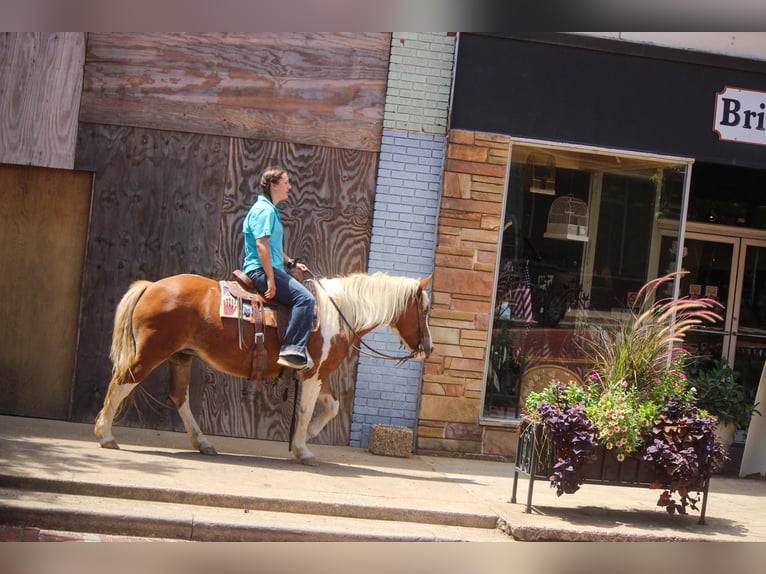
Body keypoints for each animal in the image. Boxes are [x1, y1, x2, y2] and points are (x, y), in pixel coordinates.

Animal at [93, 272, 436, 466]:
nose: (429, 348)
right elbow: (307, 409)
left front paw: (306, 438)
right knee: (122, 382)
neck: (339, 313)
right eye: (425, 309)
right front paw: (303, 449)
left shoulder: (318, 373)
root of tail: (152, 286)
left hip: (181, 356)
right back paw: (106, 435)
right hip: (153, 352)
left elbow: (332, 407)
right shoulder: (312, 374)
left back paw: (203, 443)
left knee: (179, 396)